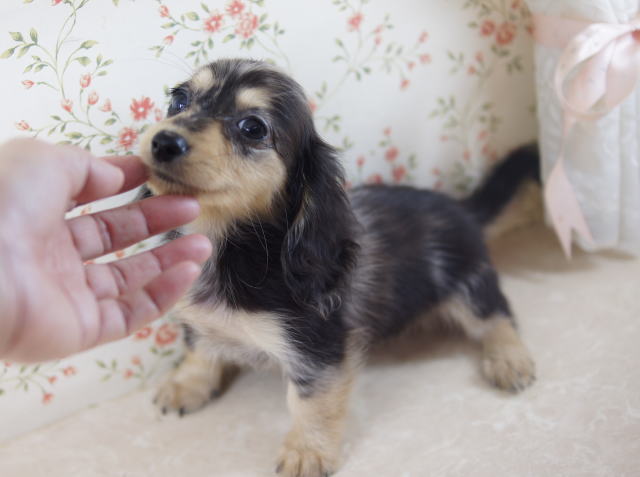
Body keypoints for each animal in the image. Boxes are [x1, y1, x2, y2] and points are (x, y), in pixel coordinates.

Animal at [139, 58, 536, 476]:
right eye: (179, 101)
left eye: (253, 127)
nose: (164, 142)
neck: (227, 248)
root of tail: (464, 209)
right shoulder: (201, 320)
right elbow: (200, 349)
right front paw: (187, 385)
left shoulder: (318, 350)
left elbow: (310, 404)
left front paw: (306, 451)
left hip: (468, 285)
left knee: (497, 316)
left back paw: (509, 360)